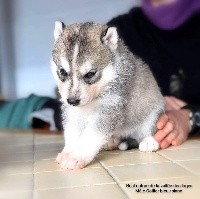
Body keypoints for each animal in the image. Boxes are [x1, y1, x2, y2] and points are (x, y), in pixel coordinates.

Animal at [51, 21, 164, 169]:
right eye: (62, 72)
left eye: (90, 74)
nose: (73, 101)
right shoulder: (72, 112)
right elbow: (72, 131)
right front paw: (68, 151)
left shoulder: (109, 109)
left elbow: (90, 136)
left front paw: (77, 156)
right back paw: (111, 141)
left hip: (153, 112)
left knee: (147, 129)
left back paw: (149, 141)